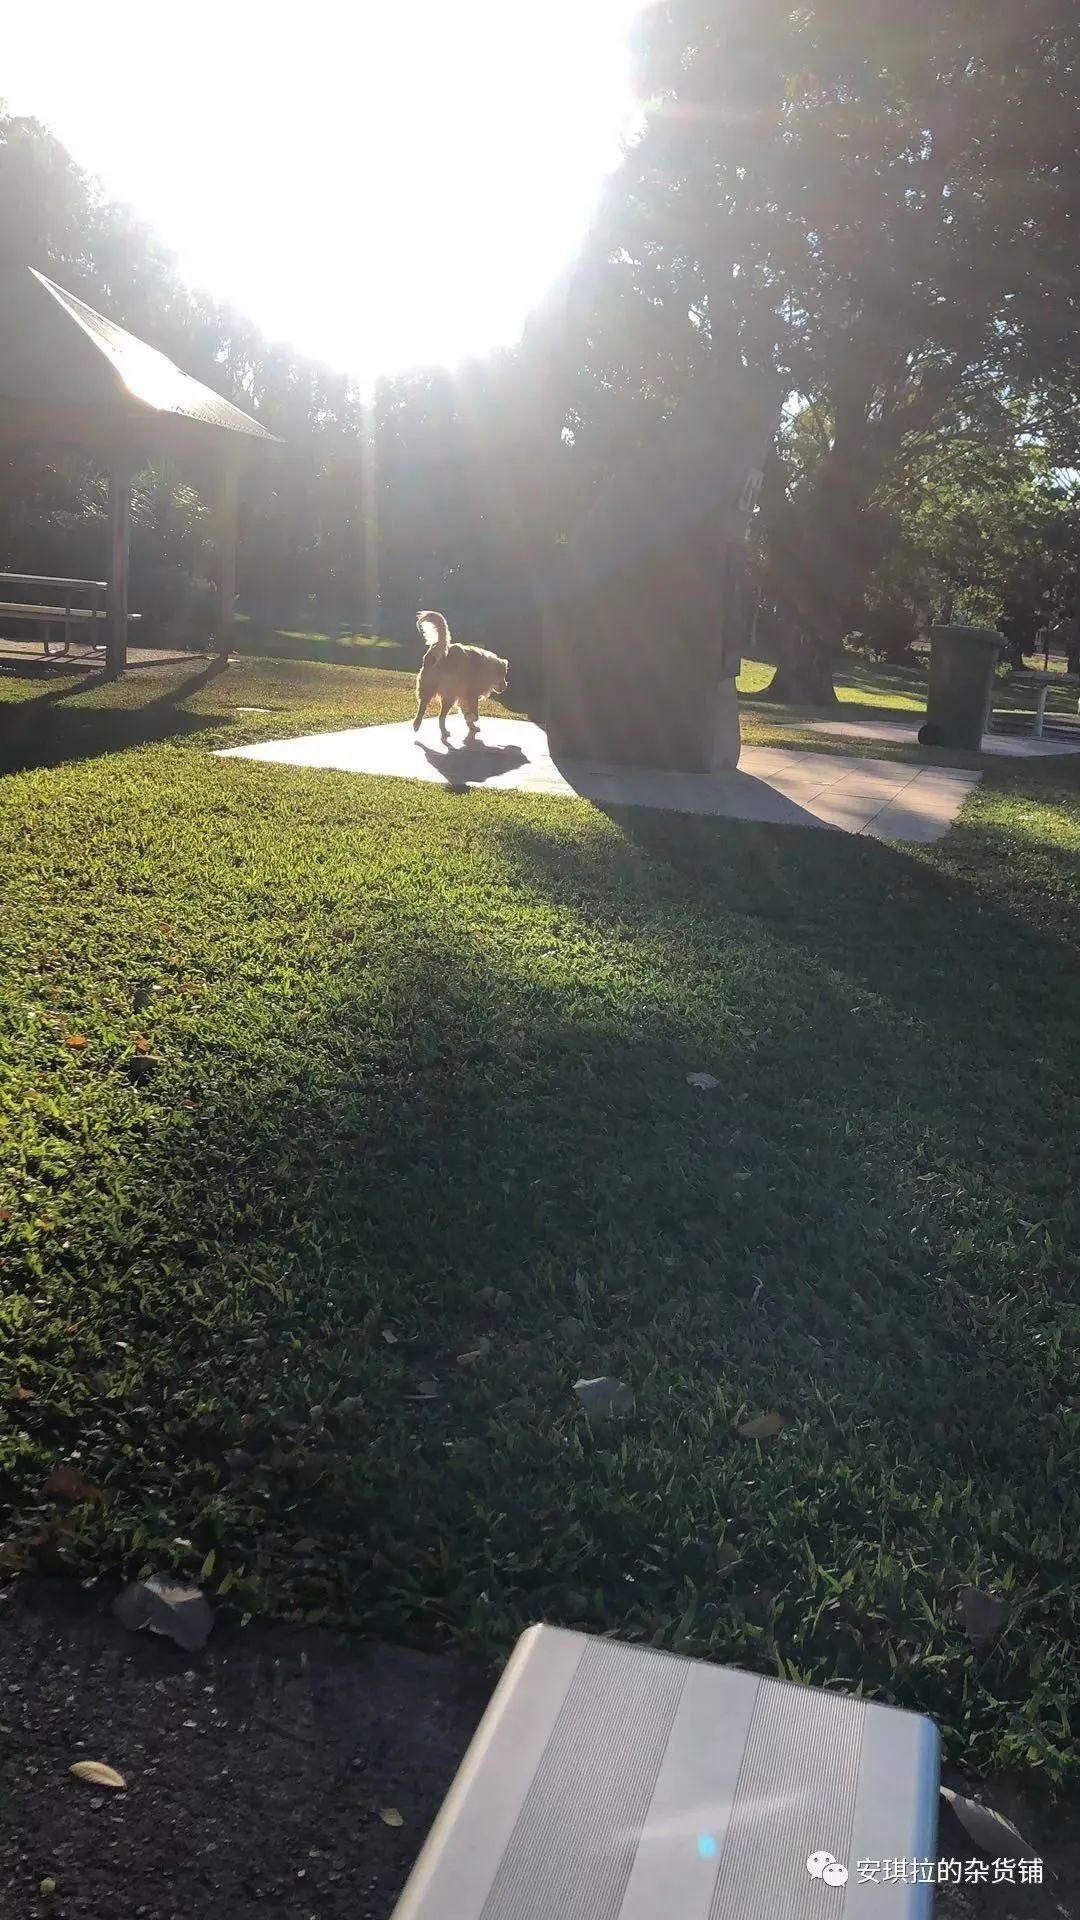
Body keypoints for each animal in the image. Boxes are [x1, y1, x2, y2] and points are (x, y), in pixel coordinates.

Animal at [409, 610, 507, 744]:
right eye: (503, 676)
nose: (505, 687)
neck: (489, 667)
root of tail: (441, 650)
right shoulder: (471, 695)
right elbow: (475, 715)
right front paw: (471, 719)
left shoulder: (463, 698)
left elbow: (468, 715)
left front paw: (472, 726)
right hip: (437, 690)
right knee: (424, 710)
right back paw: (417, 726)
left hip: (446, 695)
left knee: (439, 716)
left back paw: (442, 731)